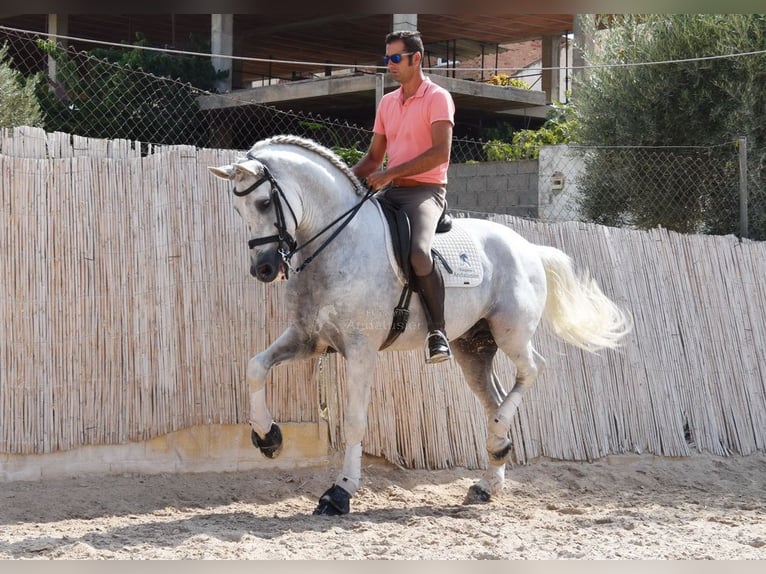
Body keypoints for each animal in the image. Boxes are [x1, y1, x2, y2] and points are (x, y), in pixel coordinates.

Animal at [207, 135, 632, 516]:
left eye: (264, 202)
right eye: (238, 210)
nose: (263, 269)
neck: (339, 244)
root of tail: (529, 247)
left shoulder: (360, 351)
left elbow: (354, 423)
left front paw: (339, 493)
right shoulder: (308, 338)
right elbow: (255, 367)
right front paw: (267, 437)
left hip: (510, 332)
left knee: (532, 369)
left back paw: (497, 439)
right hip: (473, 348)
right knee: (494, 396)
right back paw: (490, 474)